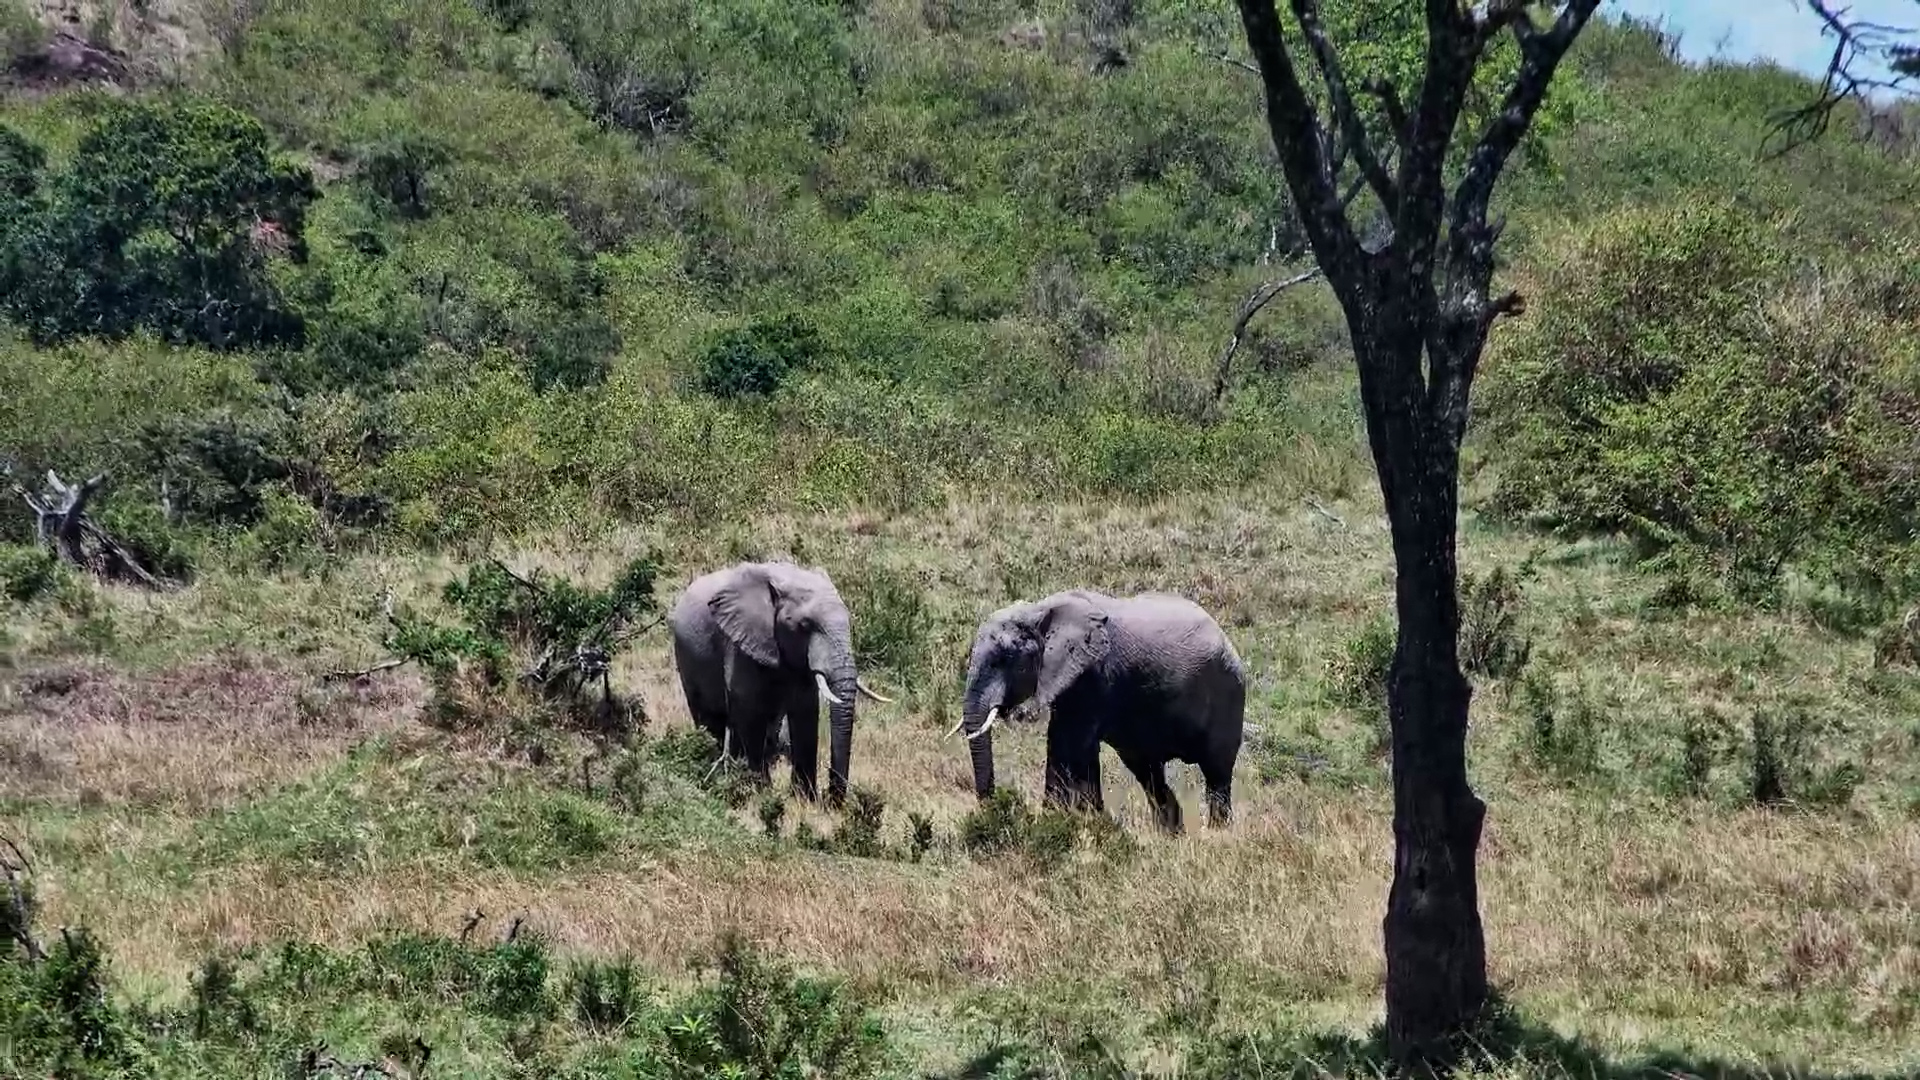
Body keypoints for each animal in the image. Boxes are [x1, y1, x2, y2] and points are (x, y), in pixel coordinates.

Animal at [668, 560, 892, 805]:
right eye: (804, 626)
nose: (831, 798)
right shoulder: (741, 641)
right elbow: (749, 710)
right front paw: (761, 793)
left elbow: (805, 712)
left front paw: (804, 799)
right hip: (686, 657)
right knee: (709, 718)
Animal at [951, 589, 1245, 832]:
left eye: (1006, 659)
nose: (992, 810)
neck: (1040, 611)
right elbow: (1069, 744)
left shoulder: (1092, 675)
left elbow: (1068, 743)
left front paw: (1059, 820)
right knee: (1148, 771)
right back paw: (1171, 835)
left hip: (1229, 692)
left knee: (1217, 771)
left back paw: (1218, 833)